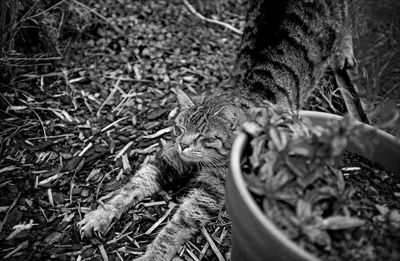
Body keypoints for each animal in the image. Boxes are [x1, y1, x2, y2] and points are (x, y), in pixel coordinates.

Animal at [77, 1, 354, 258]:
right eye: (179, 128)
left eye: (204, 137)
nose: (183, 144)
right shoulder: (168, 159)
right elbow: (133, 186)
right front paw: (100, 215)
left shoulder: (210, 191)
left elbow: (177, 226)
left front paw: (154, 254)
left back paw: (345, 55)